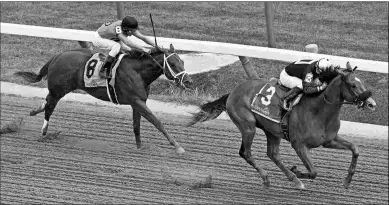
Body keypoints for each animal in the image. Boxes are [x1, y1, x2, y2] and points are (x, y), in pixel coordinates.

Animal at [14, 44, 193, 154]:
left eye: (183, 62)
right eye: (172, 63)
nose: (189, 82)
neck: (137, 72)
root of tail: (58, 56)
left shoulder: (138, 102)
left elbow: (136, 126)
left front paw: (139, 147)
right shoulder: (136, 100)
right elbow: (157, 122)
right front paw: (178, 147)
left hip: (58, 89)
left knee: (46, 102)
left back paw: (34, 111)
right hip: (59, 90)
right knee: (50, 106)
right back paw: (44, 132)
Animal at [188, 62, 376, 189]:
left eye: (363, 83)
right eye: (353, 85)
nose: (371, 103)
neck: (319, 111)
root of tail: (232, 92)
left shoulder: (329, 140)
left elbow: (355, 149)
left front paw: (347, 181)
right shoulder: (298, 145)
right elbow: (313, 172)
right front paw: (298, 170)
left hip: (271, 131)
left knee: (272, 154)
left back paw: (294, 179)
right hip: (248, 126)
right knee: (246, 153)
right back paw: (269, 178)